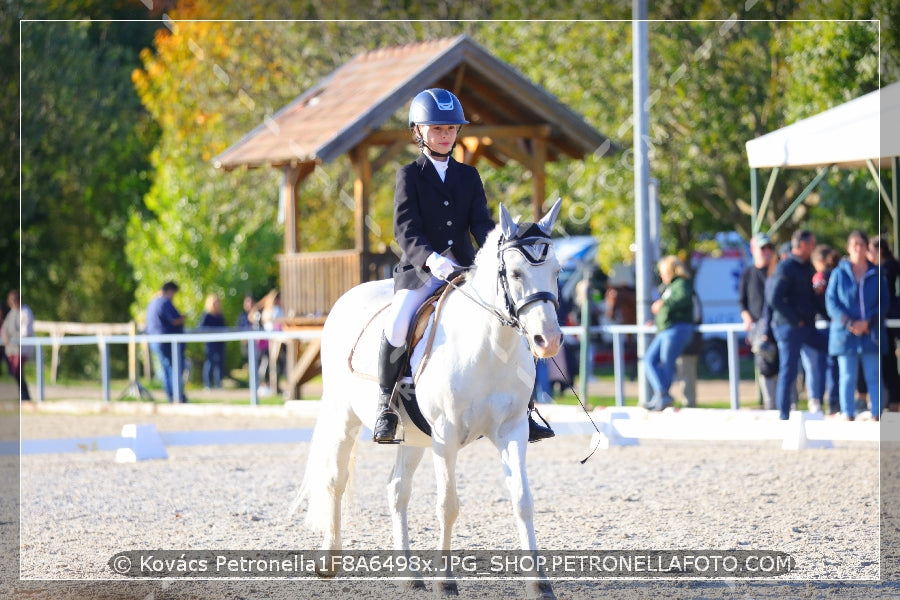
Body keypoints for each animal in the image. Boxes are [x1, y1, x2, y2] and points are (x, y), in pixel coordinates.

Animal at [298, 200, 564, 596]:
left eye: (557, 271)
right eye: (515, 273)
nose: (549, 341)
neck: (490, 346)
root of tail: (346, 297)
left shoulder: (513, 430)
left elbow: (523, 501)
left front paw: (539, 583)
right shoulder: (446, 434)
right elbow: (447, 505)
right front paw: (446, 580)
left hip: (413, 436)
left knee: (397, 490)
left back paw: (410, 574)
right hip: (344, 417)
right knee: (335, 479)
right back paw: (329, 561)